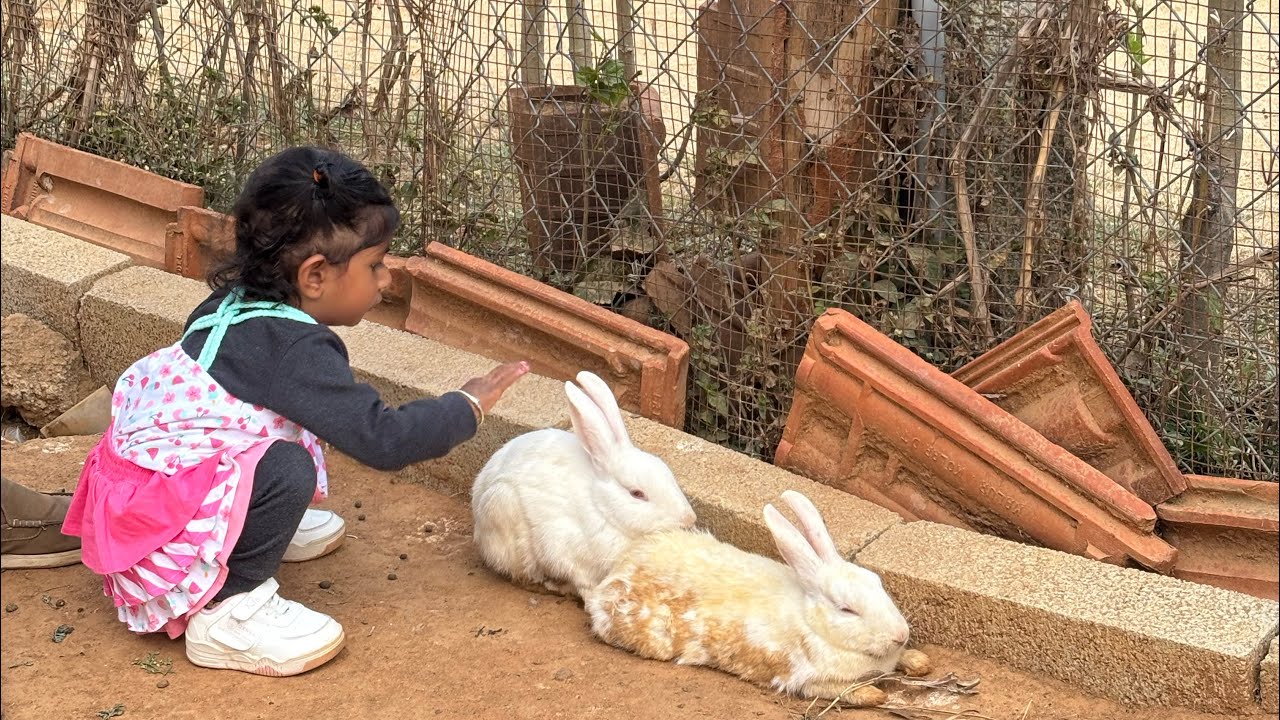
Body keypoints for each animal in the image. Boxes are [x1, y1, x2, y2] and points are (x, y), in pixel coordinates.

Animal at [471, 370, 698, 599]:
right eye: (637, 493)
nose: (689, 519)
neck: (602, 508)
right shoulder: (565, 552)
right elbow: (583, 582)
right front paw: (592, 596)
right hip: (503, 510)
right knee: (523, 575)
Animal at [583, 490, 911, 700]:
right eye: (846, 609)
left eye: (877, 581)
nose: (901, 635)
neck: (810, 622)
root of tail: (616, 571)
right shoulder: (803, 679)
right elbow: (843, 691)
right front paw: (875, 696)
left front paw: (915, 660)